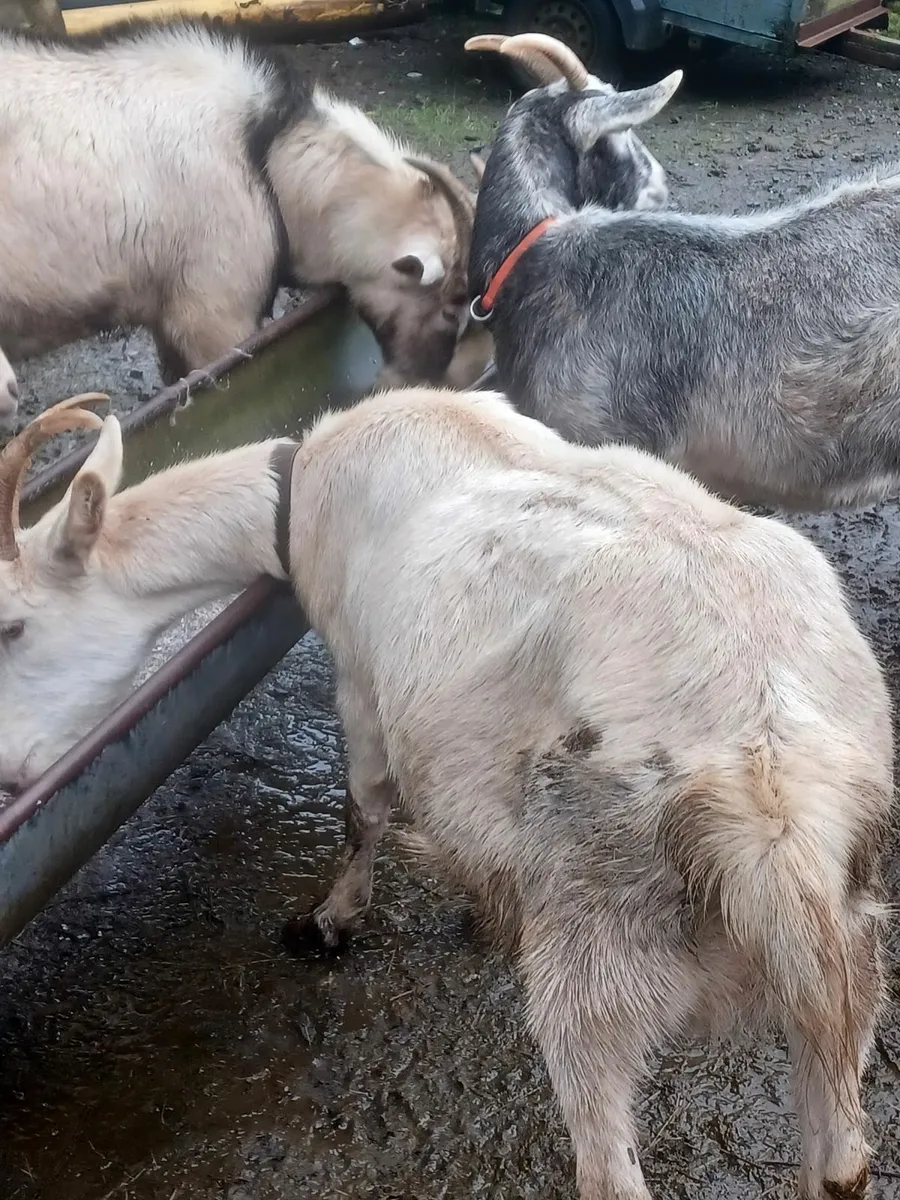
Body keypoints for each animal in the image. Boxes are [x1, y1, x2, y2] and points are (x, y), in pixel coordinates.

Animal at [0, 386, 891, 1199]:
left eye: (12, 627)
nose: (12, 774)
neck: (303, 484)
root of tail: (776, 815)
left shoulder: (359, 677)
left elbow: (363, 805)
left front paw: (331, 922)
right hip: (851, 949)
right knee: (841, 1162)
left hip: (599, 944)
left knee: (609, 1165)